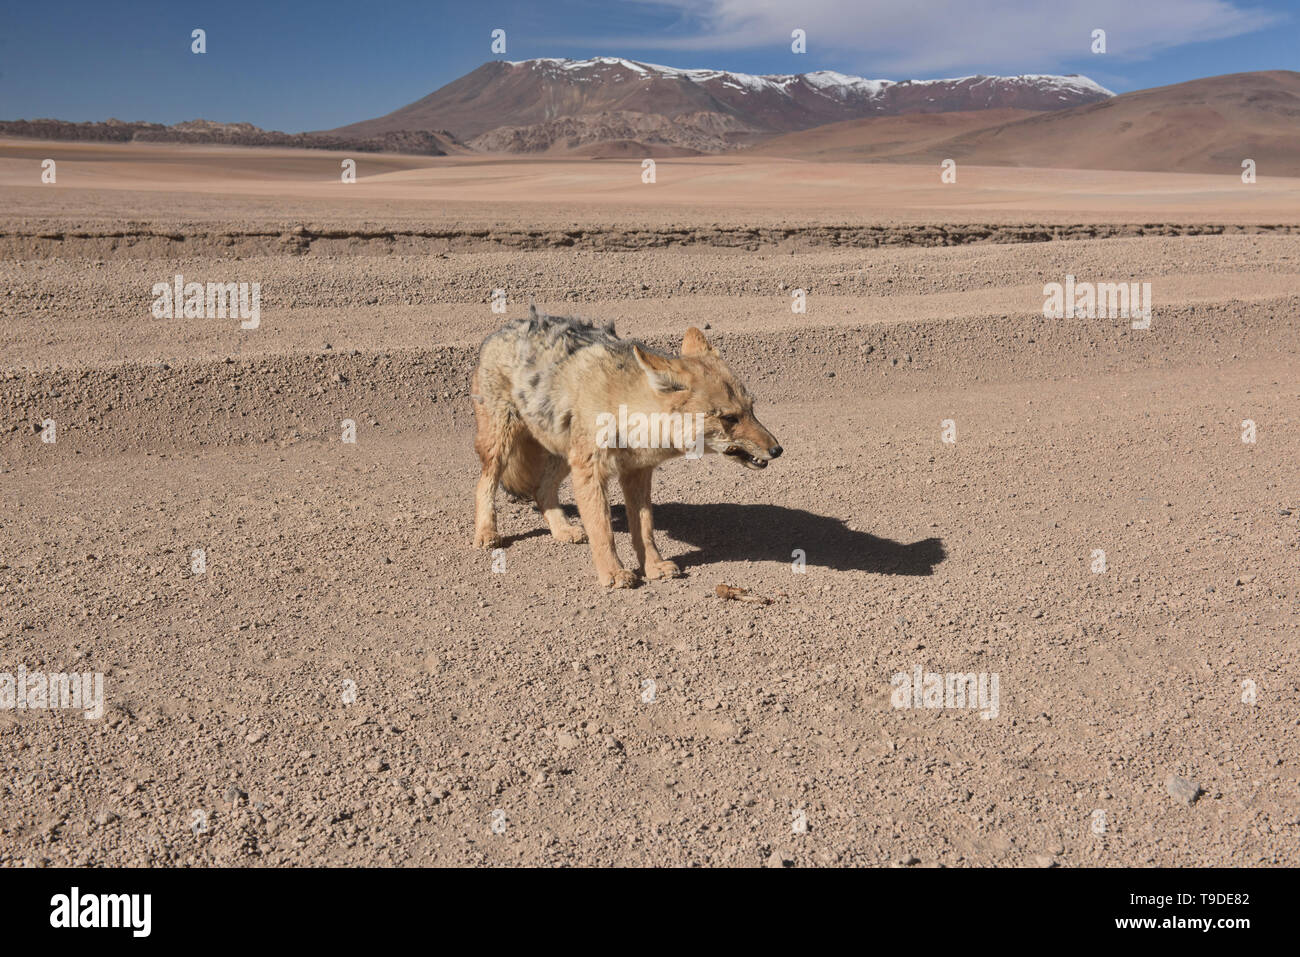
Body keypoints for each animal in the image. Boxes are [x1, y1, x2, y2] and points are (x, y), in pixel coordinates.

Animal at [472, 306, 782, 588]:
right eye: (730, 418)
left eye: (751, 409)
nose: (777, 450)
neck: (624, 409)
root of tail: (506, 326)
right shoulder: (591, 473)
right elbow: (602, 530)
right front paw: (613, 572)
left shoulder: (637, 473)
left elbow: (644, 529)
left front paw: (653, 566)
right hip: (503, 445)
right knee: (485, 483)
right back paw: (486, 532)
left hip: (565, 457)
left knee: (542, 489)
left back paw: (561, 530)